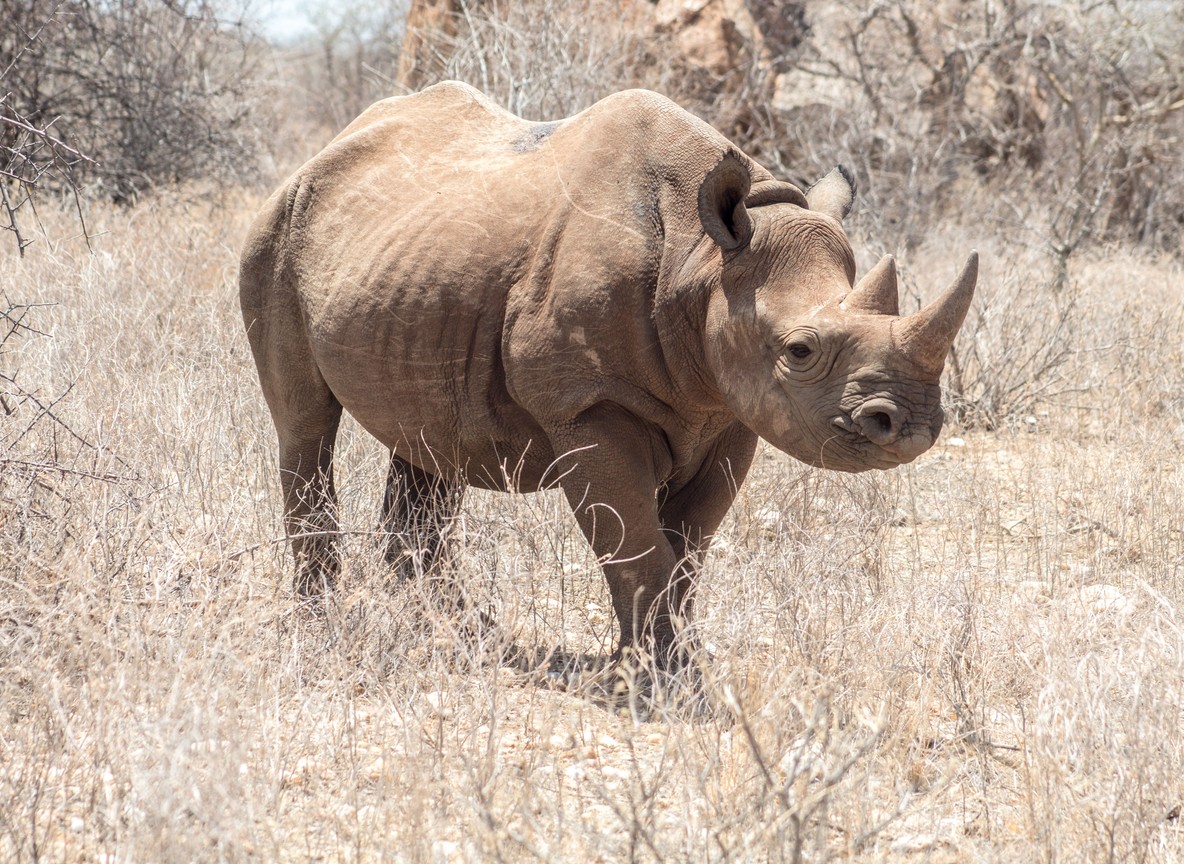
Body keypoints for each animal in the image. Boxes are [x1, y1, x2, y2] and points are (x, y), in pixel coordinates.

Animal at [239, 81, 977, 669]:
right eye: (800, 350)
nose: (911, 425)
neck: (702, 262)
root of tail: (323, 152)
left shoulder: (729, 410)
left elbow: (686, 551)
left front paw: (668, 661)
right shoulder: (588, 407)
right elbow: (637, 547)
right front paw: (660, 680)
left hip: (414, 270)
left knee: (426, 443)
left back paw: (462, 634)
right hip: (275, 235)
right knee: (304, 424)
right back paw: (325, 627)